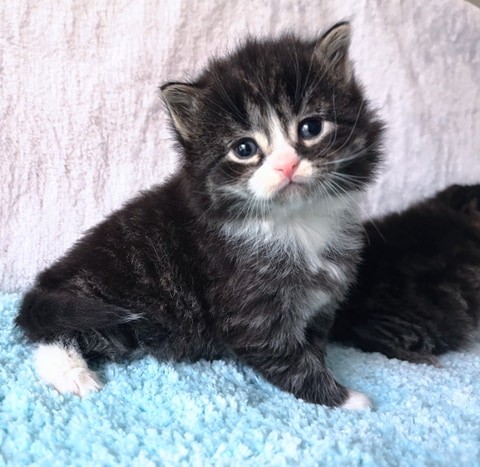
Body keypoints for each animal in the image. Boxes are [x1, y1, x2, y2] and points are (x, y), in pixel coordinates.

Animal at [15, 22, 382, 410]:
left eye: (311, 128)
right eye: (244, 149)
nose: (287, 165)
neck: (297, 221)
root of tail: (48, 282)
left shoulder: (320, 305)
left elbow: (313, 346)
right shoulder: (250, 311)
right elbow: (289, 360)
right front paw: (347, 399)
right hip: (109, 309)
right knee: (53, 333)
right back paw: (72, 374)